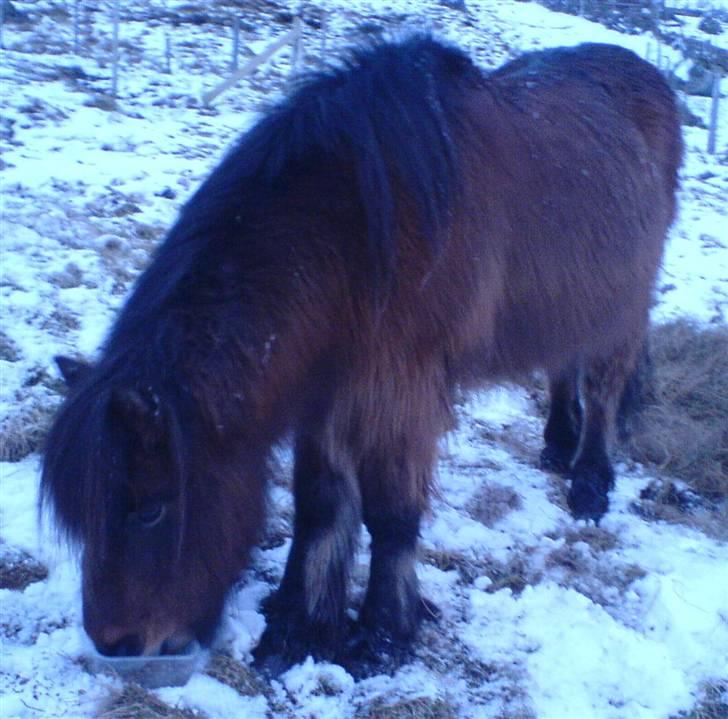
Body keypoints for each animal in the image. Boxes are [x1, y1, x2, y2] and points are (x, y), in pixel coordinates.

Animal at [42, 35, 684, 676]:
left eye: (151, 509)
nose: (116, 643)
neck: (357, 239)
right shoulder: (328, 389)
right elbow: (319, 504)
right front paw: (297, 625)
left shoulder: (400, 391)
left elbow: (390, 514)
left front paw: (381, 633)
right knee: (563, 364)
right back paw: (556, 443)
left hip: (626, 306)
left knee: (603, 385)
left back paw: (590, 482)